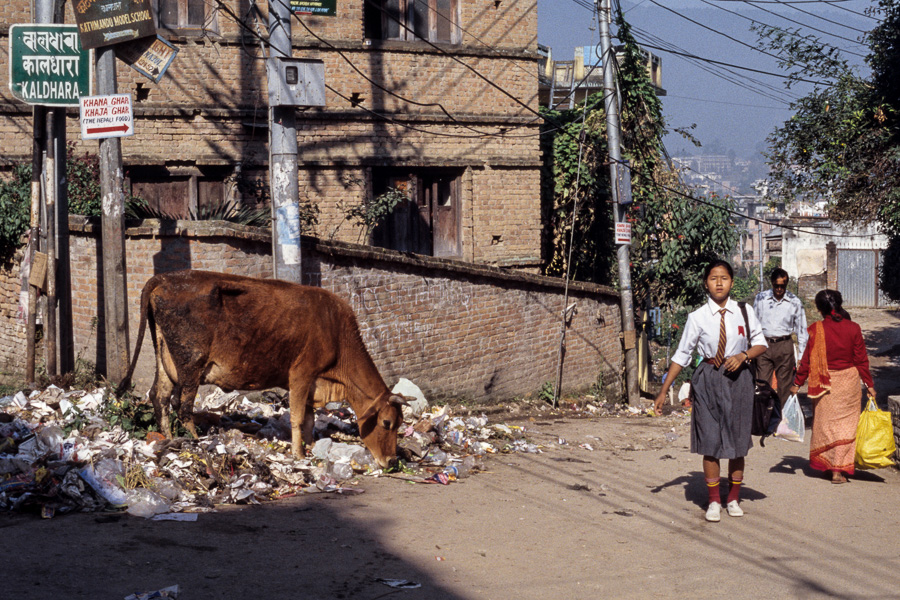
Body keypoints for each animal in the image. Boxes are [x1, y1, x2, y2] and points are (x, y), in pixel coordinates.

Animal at [118, 268, 406, 468]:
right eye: (387, 423)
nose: (392, 461)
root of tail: (164, 278)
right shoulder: (301, 374)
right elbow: (297, 417)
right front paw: (298, 453)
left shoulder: (312, 382)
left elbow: (310, 419)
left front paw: (314, 446)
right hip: (191, 363)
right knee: (183, 405)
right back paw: (196, 443)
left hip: (166, 358)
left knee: (160, 396)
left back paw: (167, 438)